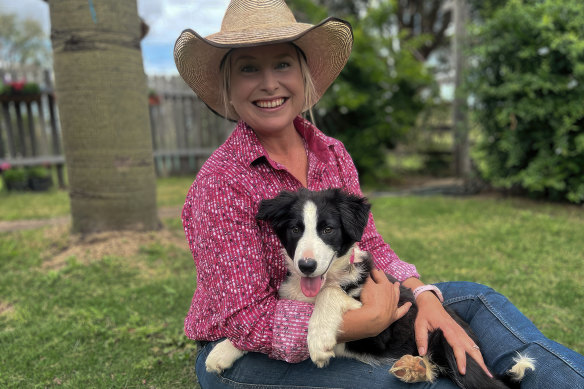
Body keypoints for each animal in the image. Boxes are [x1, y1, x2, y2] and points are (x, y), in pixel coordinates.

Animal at [205, 186, 532, 386]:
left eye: (328, 229)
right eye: (296, 229)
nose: (307, 266)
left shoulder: (379, 328)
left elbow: (330, 294)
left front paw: (318, 338)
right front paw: (223, 351)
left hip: (455, 351)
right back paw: (414, 368)